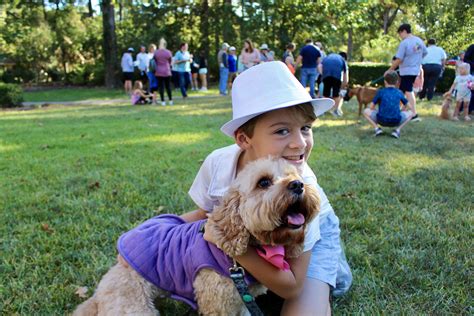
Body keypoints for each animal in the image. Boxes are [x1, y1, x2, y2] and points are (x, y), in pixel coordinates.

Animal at [73, 158, 318, 316]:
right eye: (264, 182)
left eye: (294, 176)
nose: (298, 184)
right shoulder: (219, 304)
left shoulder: (241, 303)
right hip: (133, 308)